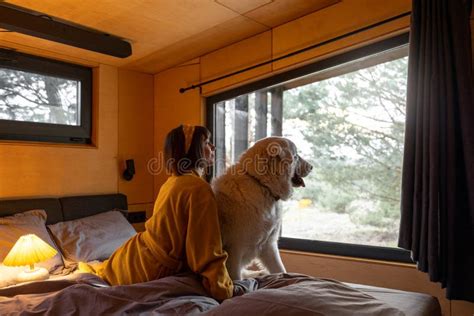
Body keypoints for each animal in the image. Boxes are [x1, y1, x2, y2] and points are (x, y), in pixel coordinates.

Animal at [213, 136, 312, 278]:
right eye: (296, 156)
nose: (312, 167)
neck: (261, 185)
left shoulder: (268, 246)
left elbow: (280, 269)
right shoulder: (235, 251)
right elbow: (236, 279)